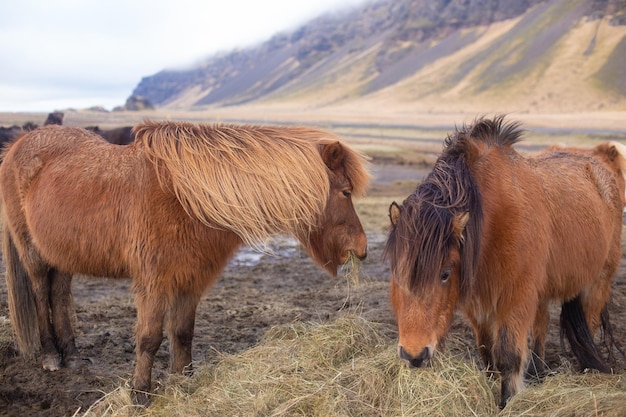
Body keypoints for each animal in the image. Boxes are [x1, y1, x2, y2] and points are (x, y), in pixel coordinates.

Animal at [0, 121, 368, 404]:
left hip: (62, 255)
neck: (186, 198)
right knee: (40, 293)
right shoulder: (154, 282)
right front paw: (140, 394)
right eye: (346, 192)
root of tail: (17, 145)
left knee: (59, 295)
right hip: (32, 252)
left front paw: (184, 380)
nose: (362, 249)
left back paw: (73, 357)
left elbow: (183, 332)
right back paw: (51, 357)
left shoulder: (191, 278)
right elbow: (149, 337)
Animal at [382, 115, 620, 408]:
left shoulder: (515, 298)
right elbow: (487, 352)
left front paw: (507, 402)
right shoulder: (478, 304)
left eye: (445, 273)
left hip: (597, 284)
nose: (414, 356)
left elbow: (507, 355)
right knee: (541, 327)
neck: (493, 219)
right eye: (396, 272)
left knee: (590, 324)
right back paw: (538, 373)